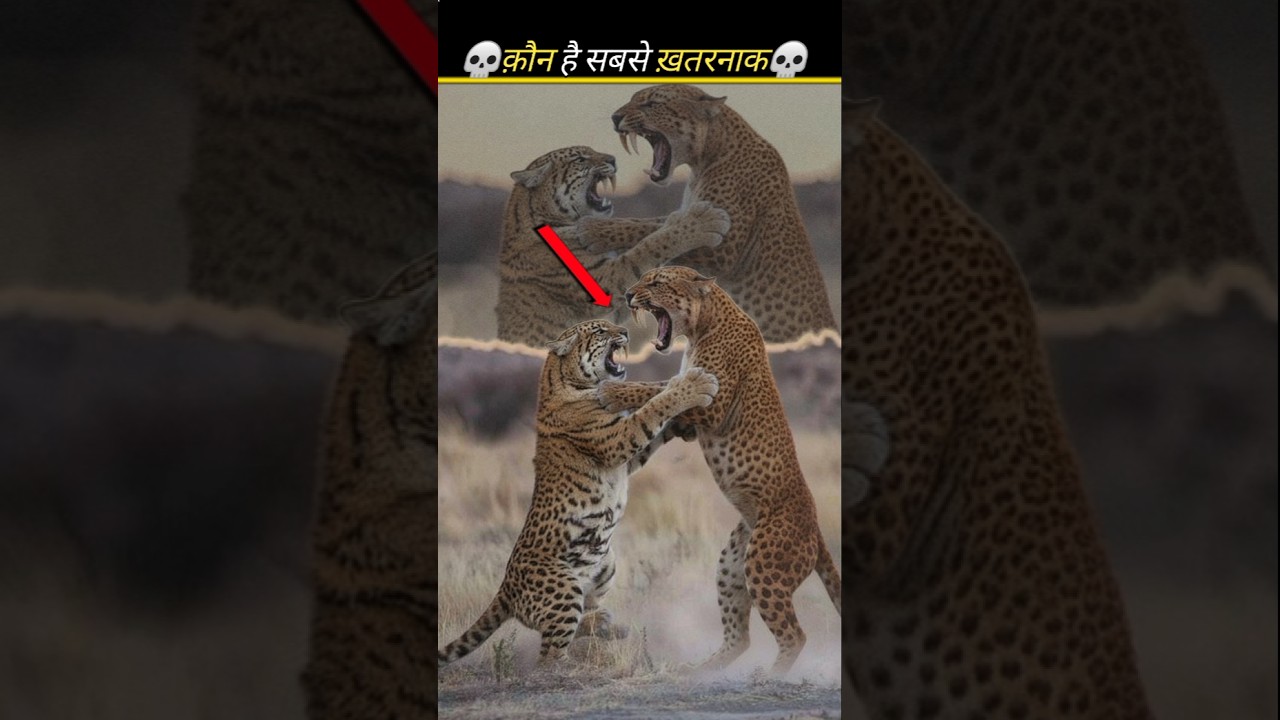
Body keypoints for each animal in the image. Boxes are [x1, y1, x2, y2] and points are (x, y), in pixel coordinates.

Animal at [439, 319, 720, 667]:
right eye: (599, 331)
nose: (625, 331)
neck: (565, 383)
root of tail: (505, 590)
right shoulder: (618, 440)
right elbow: (652, 410)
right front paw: (695, 384)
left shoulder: (627, 458)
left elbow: (656, 424)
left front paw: (685, 424)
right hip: (563, 589)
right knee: (549, 655)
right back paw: (574, 664)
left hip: (605, 566)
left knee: (582, 618)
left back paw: (607, 625)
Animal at [596, 84, 837, 344]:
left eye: (651, 104)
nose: (615, 117)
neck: (705, 158)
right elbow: (659, 226)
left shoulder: (724, 250)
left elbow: (653, 230)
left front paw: (592, 230)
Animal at [601, 266, 841, 675]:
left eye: (657, 282)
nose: (629, 294)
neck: (702, 326)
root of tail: (817, 532)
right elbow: (667, 390)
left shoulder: (714, 405)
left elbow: (660, 388)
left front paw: (612, 392)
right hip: (732, 563)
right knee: (739, 637)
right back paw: (698, 670)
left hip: (763, 562)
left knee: (795, 634)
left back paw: (768, 677)